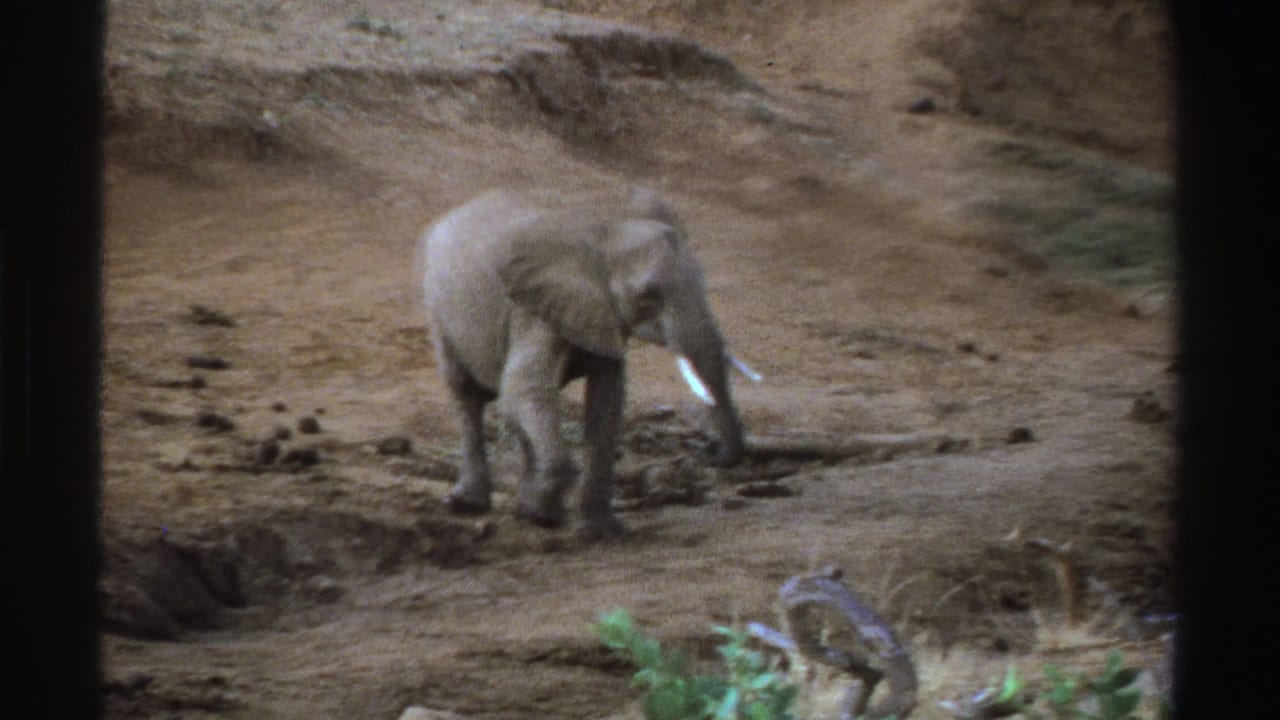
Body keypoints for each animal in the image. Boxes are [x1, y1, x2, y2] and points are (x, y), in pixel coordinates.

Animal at [418, 188, 748, 540]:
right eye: (648, 295)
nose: (712, 453)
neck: (604, 234)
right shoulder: (534, 309)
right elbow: (523, 384)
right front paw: (545, 517)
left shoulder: (600, 313)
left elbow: (606, 400)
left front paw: (599, 532)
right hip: (437, 305)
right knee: (467, 393)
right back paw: (469, 504)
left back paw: (523, 507)